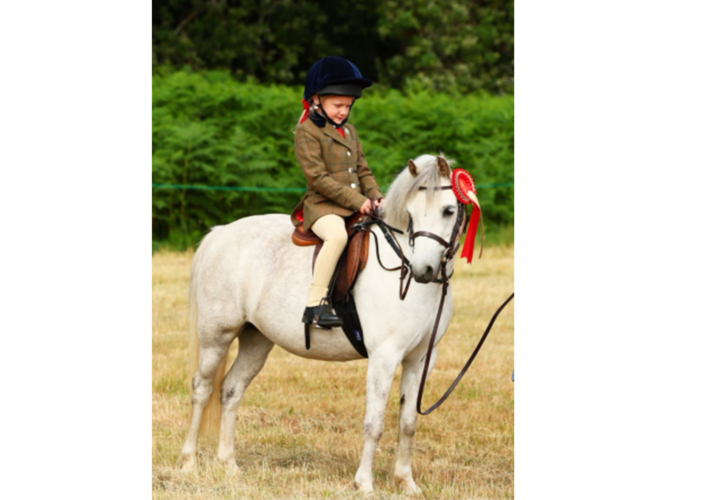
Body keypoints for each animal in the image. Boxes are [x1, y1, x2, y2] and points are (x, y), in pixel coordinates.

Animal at [180, 154, 467, 494]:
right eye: (410, 214)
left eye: (448, 210)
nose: (423, 270)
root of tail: (220, 234)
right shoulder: (384, 357)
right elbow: (374, 423)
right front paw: (364, 484)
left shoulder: (421, 358)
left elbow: (408, 422)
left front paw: (406, 481)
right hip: (216, 336)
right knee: (202, 389)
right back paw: (189, 462)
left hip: (256, 340)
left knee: (231, 390)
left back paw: (229, 465)